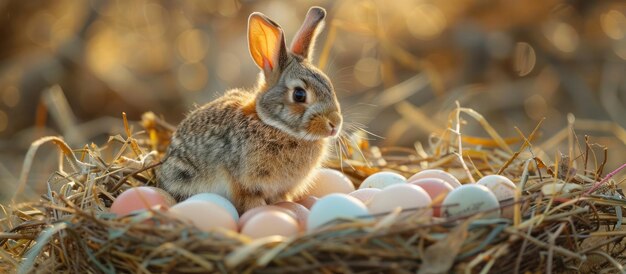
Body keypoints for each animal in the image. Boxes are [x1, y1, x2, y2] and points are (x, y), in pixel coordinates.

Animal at [156, 5, 342, 212]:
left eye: (329, 84)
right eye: (299, 94)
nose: (335, 124)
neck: (272, 125)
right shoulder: (242, 182)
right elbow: (249, 200)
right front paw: (259, 210)